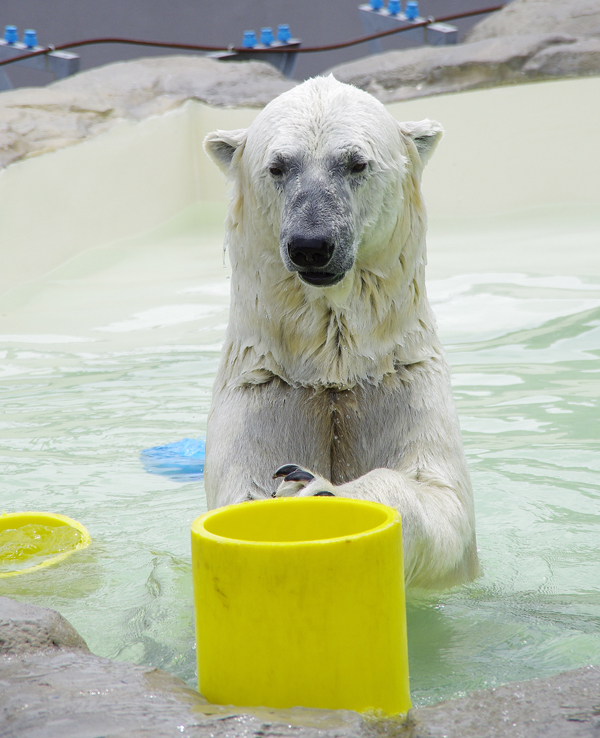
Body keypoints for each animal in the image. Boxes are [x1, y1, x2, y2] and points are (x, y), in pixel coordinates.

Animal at [204, 77, 480, 588]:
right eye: (278, 165)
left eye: (356, 162)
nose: (311, 245)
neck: (335, 367)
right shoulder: (265, 386)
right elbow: (239, 492)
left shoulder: (403, 382)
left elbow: (441, 499)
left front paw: (314, 487)